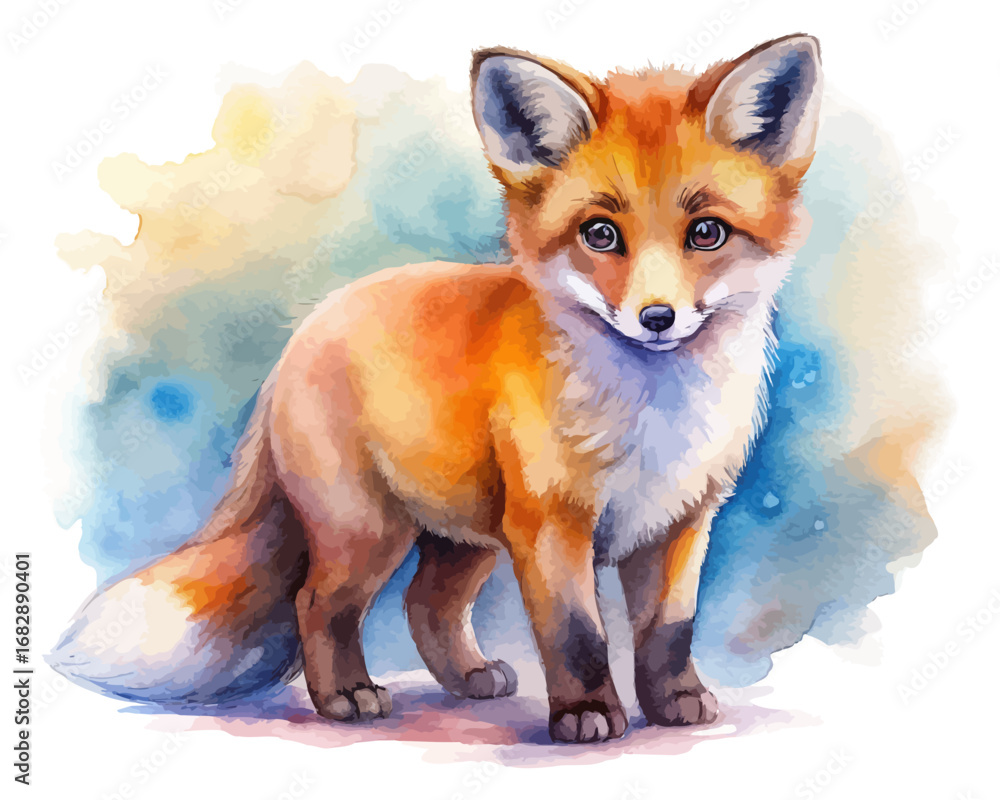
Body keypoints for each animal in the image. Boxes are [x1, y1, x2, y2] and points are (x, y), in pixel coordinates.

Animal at [49, 34, 823, 743]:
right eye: (601, 235)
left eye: (707, 232)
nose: (657, 318)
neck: (652, 418)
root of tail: (307, 331)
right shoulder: (551, 527)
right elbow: (576, 635)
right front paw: (585, 713)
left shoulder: (682, 521)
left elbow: (668, 634)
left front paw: (673, 704)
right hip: (368, 531)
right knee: (316, 603)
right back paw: (346, 696)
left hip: (463, 535)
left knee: (427, 605)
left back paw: (470, 678)